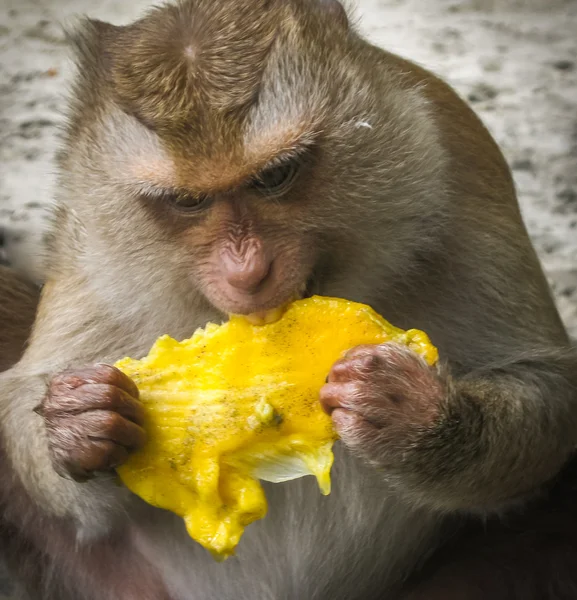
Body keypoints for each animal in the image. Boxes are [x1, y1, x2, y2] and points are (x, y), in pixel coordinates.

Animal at [1, 0, 576, 596]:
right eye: (188, 202)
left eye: (275, 176)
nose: (249, 270)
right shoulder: (87, 229)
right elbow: (21, 397)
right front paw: (80, 421)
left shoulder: (456, 155)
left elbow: (547, 384)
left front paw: (415, 415)